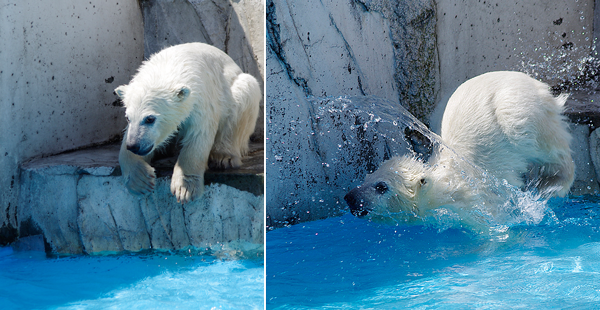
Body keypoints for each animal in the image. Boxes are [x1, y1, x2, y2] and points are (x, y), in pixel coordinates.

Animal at [115, 43, 260, 203]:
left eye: (150, 119)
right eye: (128, 118)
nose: (133, 146)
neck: (167, 67)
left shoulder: (201, 98)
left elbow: (198, 134)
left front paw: (184, 189)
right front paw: (140, 180)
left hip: (237, 90)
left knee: (243, 95)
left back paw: (223, 157)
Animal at [346, 70, 576, 225]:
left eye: (381, 187)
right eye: (367, 176)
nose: (350, 198)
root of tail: (536, 84)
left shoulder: (476, 198)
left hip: (520, 111)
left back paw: (553, 185)